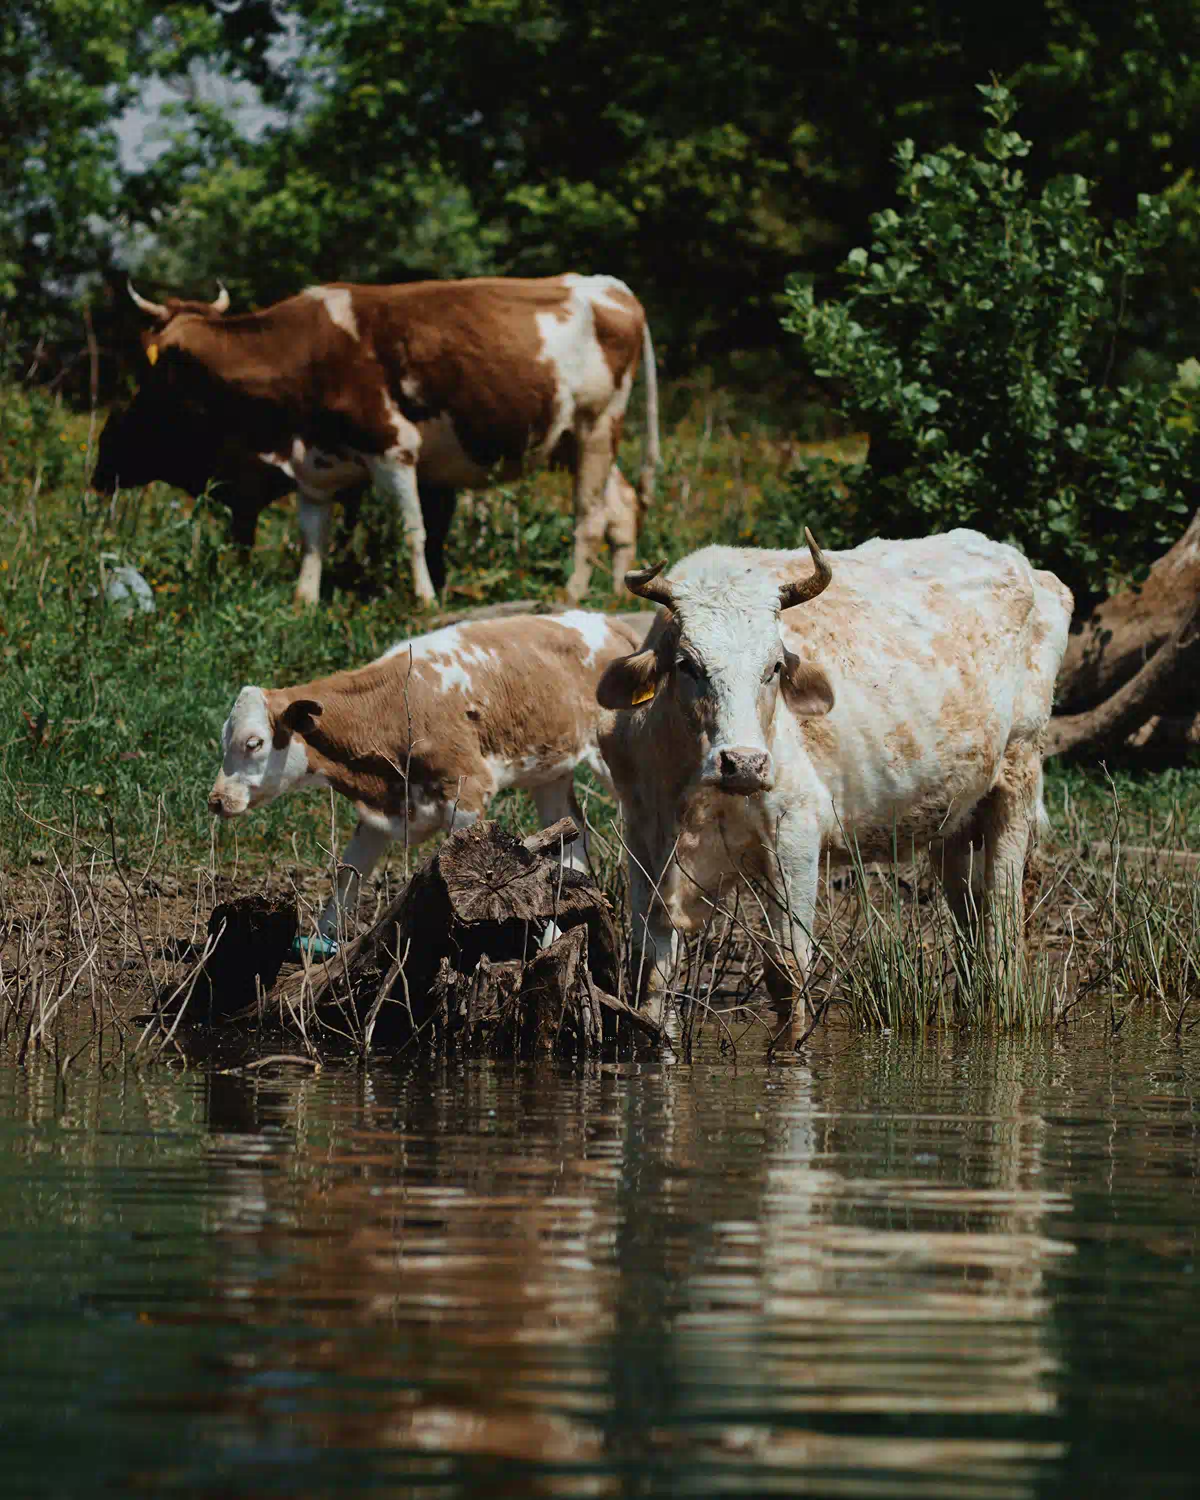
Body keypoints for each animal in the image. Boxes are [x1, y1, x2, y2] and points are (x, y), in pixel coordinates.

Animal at [94, 275, 660, 606]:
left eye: (155, 373)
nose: (103, 459)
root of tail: (611, 287)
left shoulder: (394, 450)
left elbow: (414, 532)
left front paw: (425, 600)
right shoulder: (318, 469)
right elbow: (313, 538)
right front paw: (304, 601)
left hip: (597, 426)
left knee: (589, 517)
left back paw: (573, 591)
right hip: (571, 439)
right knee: (622, 506)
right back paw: (618, 590)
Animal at [208, 610, 646, 939]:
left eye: (253, 743)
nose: (216, 799)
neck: (393, 705)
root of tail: (607, 622)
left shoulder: (466, 792)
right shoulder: (383, 807)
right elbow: (346, 881)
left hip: (612, 762)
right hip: (549, 772)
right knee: (572, 843)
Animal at [595, 530, 1073, 1021]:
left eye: (774, 667)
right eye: (688, 664)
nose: (744, 763)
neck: (691, 800)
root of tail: (1032, 571)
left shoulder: (794, 837)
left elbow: (787, 975)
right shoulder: (643, 841)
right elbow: (650, 973)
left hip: (1019, 771)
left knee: (1002, 911)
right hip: (956, 816)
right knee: (968, 915)